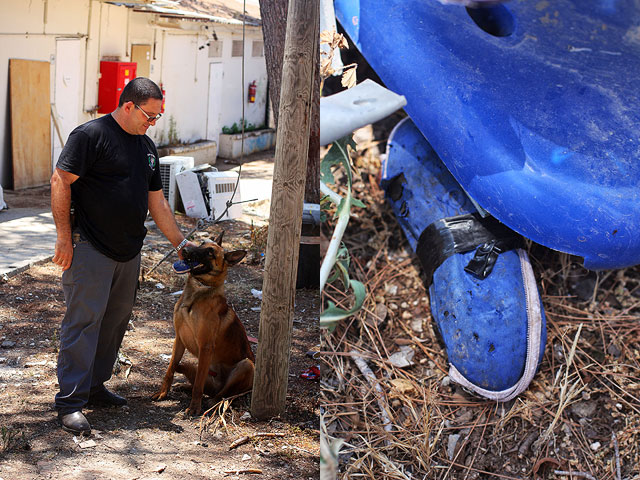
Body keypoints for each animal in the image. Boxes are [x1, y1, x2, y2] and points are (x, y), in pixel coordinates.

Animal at [152, 232, 255, 416]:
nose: (184, 250)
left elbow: (198, 384)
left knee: (222, 394)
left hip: (246, 366)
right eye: (201, 243)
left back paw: (212, 401)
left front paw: (194, 407)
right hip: (198, 364)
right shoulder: (179, 339)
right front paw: (163, 392)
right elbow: (170, 368)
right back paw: (184, 386)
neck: (198, 290)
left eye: (210, 253)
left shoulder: (205, 347)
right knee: (196, 378)